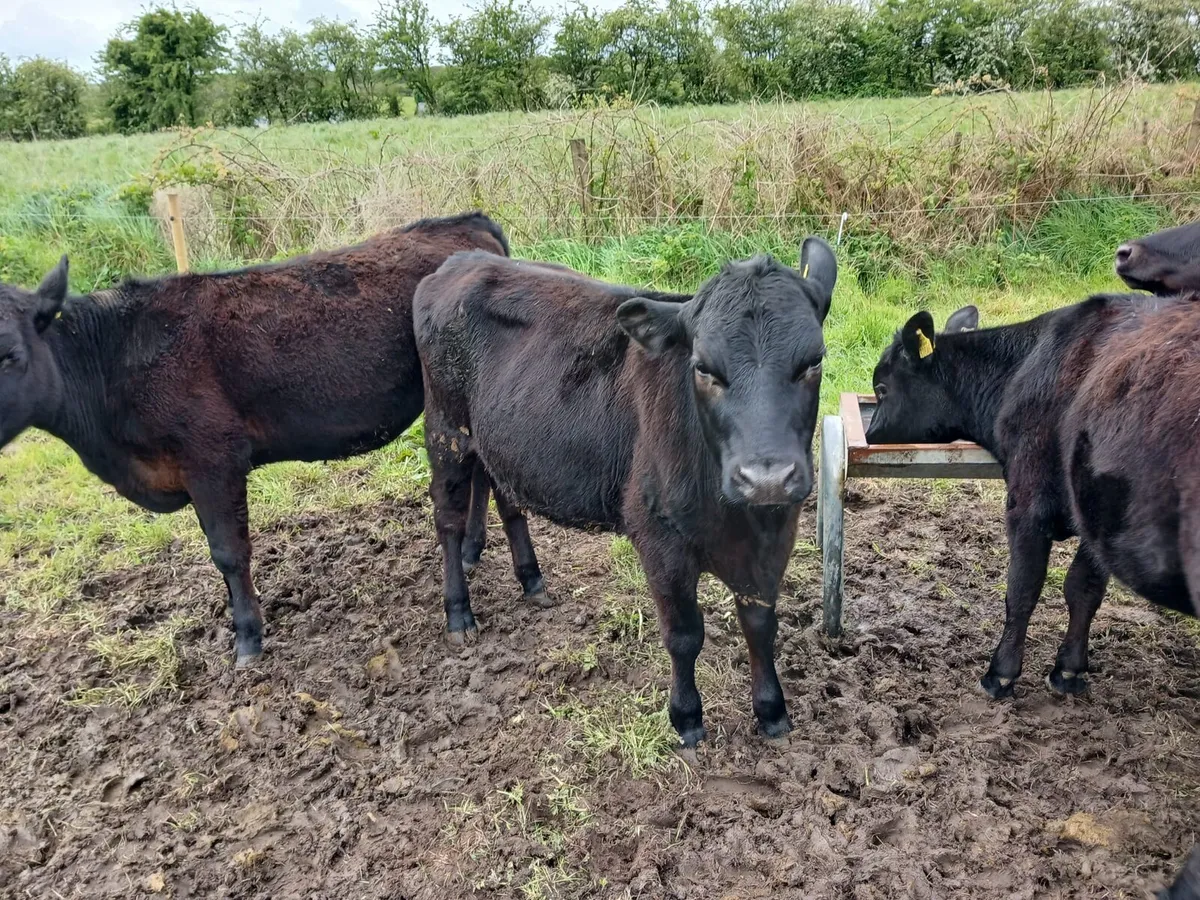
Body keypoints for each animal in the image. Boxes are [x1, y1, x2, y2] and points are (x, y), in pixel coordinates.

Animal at [0, 212, 507, 666]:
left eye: (10, 354)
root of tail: (466, 220)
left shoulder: (212, 459)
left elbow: (228, 551)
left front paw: (247, 638)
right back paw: (471, 550)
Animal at [413, 242, 836, 746]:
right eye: (703, 368)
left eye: (814, 361)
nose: (766, 478)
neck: (735, 518)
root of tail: (464, 260)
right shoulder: (658, 539)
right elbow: (684, 635)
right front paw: (687, 718)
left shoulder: (776, 534)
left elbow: (760, 625)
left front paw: (772, 711)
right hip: (446, 430)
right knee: (449, 521)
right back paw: (459, 614)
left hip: (500, 440)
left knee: (507, 499)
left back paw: (531, 580)